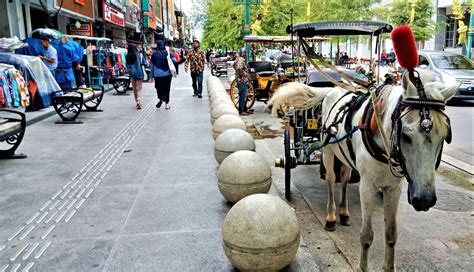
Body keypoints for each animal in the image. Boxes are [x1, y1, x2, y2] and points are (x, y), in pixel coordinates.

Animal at [270, 71, 460, 270]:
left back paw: (344, 212)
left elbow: (391, 234)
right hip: (328, 151)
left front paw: (388, 267)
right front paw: (363, 267)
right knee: (330, 179)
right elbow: (367, 235)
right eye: (406, 135)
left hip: (344, 155)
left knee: (344, 178)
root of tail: (332, 89)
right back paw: (331, 216)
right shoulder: (367, 187)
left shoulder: (394, 189)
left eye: (445, 136)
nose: (424, 200)